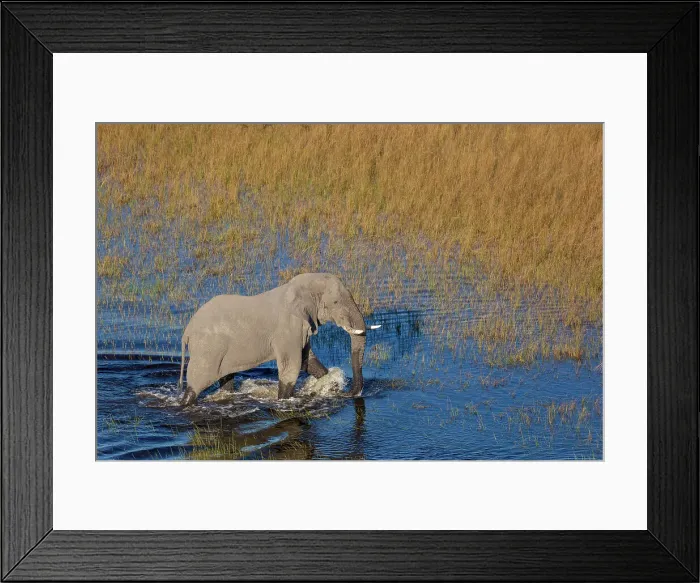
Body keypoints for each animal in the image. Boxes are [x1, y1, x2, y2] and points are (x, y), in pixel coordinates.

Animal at [178, 273, 378, 405]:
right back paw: (185, 403)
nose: (351, 394)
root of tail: (187, 331)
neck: (296, 287)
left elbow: (307, 360)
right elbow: (292, 366)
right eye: (335, 302)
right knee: (196, 383)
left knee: (226, 378)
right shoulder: (288, 329)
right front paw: (283, 401)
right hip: (207, 350)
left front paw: (330, 385)